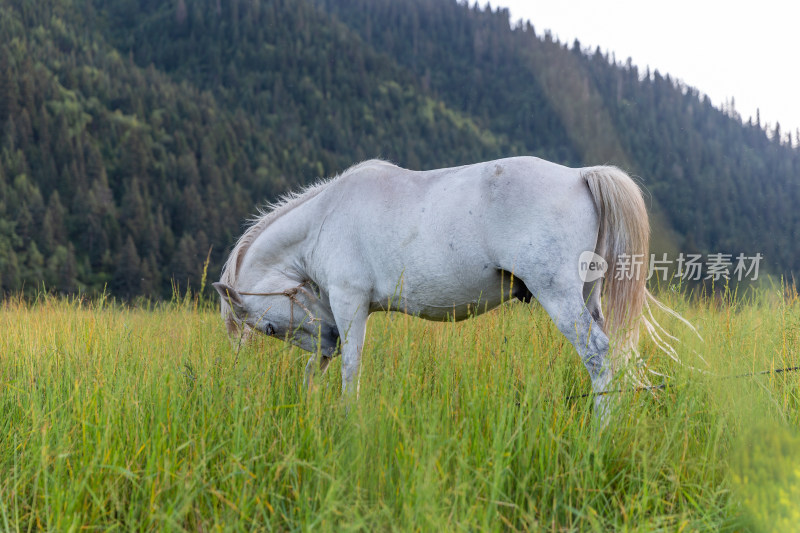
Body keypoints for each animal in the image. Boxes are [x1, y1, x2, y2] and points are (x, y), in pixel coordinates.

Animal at [214, 156, 680, 414]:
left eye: (269, 328)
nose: (328, 339)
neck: (325, 216)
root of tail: (580, 175)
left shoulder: (349, 303)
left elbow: (350, 368)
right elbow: (318, 369)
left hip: (559, 296)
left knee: (597, 355)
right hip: (588, 296)